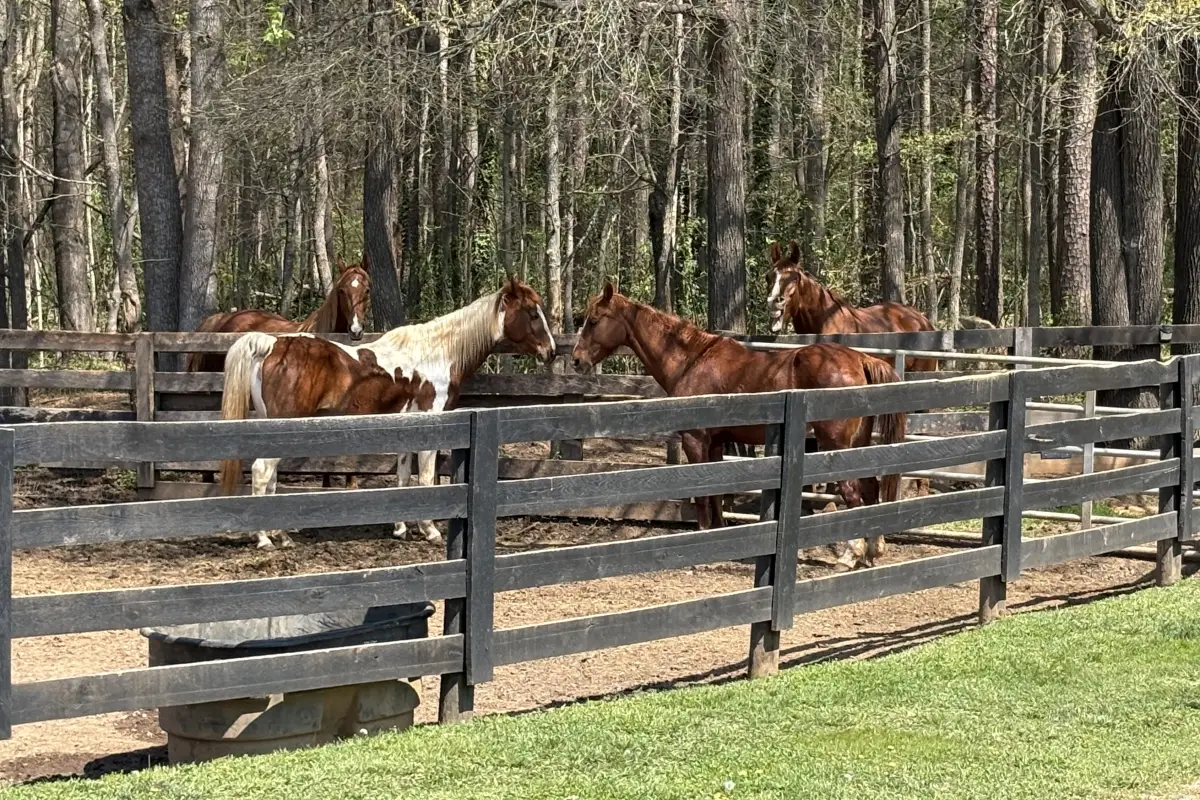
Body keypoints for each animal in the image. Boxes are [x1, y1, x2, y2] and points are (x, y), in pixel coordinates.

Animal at [218, 276, 557, 550]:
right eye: (532, 312)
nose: (551, 351)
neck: (437, 354)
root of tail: (272, 344)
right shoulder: (430, 426)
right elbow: (426, 478)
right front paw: (430, 530)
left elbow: (403, 477)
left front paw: (401, 528)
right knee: (262, 472)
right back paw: (264, 538)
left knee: (270, 477)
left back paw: (282, 536)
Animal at [571, 282, 906, 571]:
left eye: (594, 320)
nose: (576, 360)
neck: (692, 360)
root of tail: (858, 359)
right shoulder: (717, 443)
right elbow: (717, 493)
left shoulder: (695, 441)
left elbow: (703, 493)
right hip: (857, 444)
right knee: (870, 487)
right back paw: (873, 550)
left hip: (835, 445)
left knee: (852, 492)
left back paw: (851, 555)